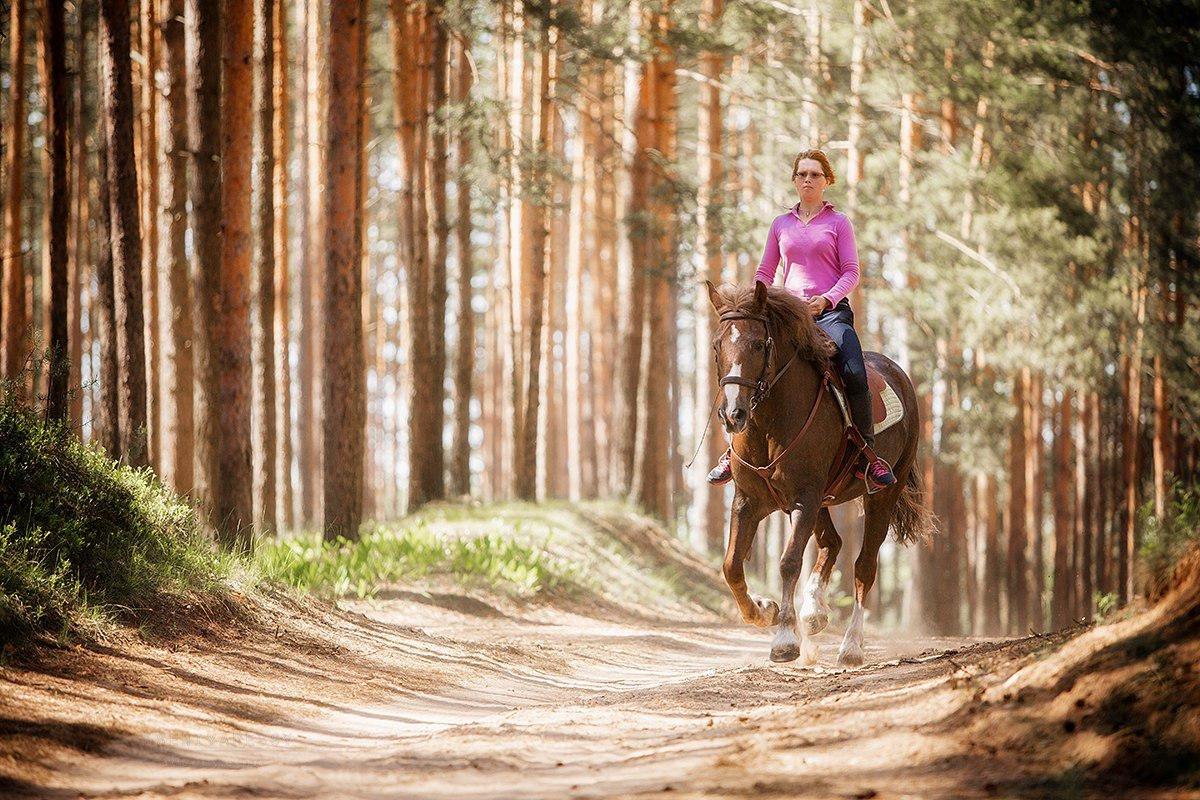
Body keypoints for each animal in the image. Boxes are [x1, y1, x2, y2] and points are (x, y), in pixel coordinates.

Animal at [700, 278, 936, 666]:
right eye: (718, 345)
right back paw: (814, 613)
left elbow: (789, 562)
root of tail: (899, 374)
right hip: (821, 500)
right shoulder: (749, 501)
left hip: (882, 495)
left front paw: (784, 640)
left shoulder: (804, 499)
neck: (769, 423)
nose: (732, 414)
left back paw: (851, 646)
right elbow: (731, 565)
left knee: (864, 566)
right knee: (832, 543)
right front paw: (764, 611)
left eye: (758, 343)